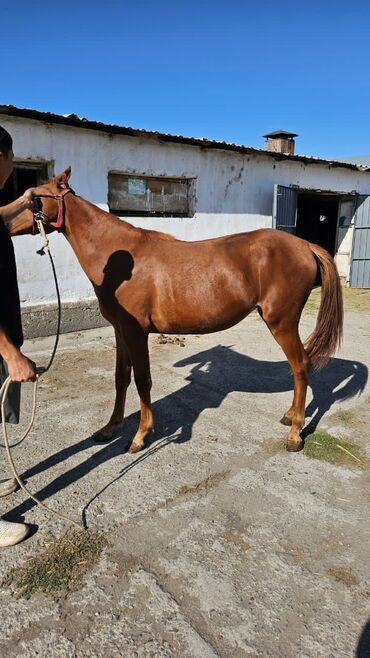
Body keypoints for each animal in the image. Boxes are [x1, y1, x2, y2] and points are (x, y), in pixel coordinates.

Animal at [7, 169, 344, 452]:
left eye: (33, 196)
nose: (3, 219)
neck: (122, 261)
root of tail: (304, 245)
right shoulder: (120, 331)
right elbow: (121, 378)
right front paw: (110, 428)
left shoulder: (136, 332)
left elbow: (143, 380)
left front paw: (140, 435)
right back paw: (289, 416)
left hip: (281, 322)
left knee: (301, 365)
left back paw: (295, 433)